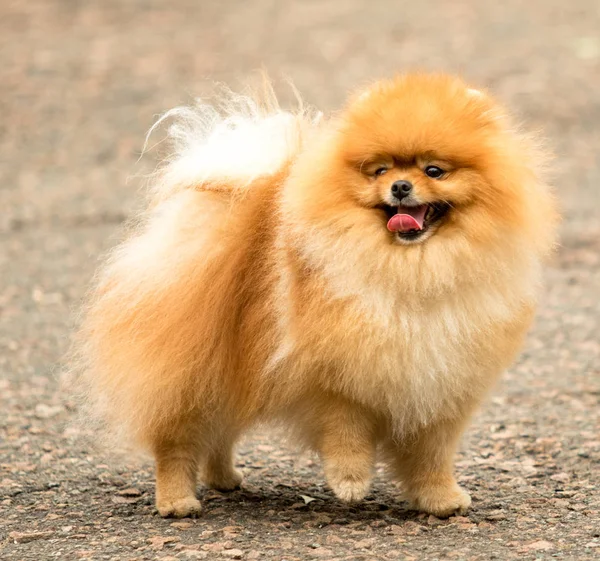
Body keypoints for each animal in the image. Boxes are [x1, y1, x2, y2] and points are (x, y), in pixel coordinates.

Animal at [74, 73, 556, 516]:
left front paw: (441, 498)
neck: (411, 271)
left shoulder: (441, 383)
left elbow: (431, 453)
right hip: (192, 367)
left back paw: (225, 478)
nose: (400, 186)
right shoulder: (331, 368)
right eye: (381, 170)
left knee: (220, 431)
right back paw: (177, 501)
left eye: (433, 170)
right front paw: (350, 480)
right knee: (176, 440)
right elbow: (345, 426)